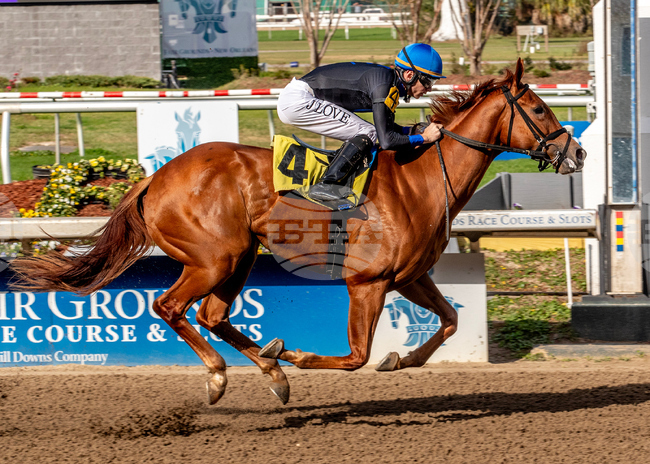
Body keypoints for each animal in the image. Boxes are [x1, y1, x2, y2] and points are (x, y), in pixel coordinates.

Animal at [10, 59, 586, 406]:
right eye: (539, 109)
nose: (576, 151)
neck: (420, 179)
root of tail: (156, 178)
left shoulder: (408, 276)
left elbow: (448, 322)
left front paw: (401, 358)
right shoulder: (367, 282)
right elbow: (356, 356)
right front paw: (300, 356)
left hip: (239, 257)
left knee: (212, 315)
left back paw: (271, 373)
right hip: (214, 257)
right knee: (170, 307)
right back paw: (226, 373)